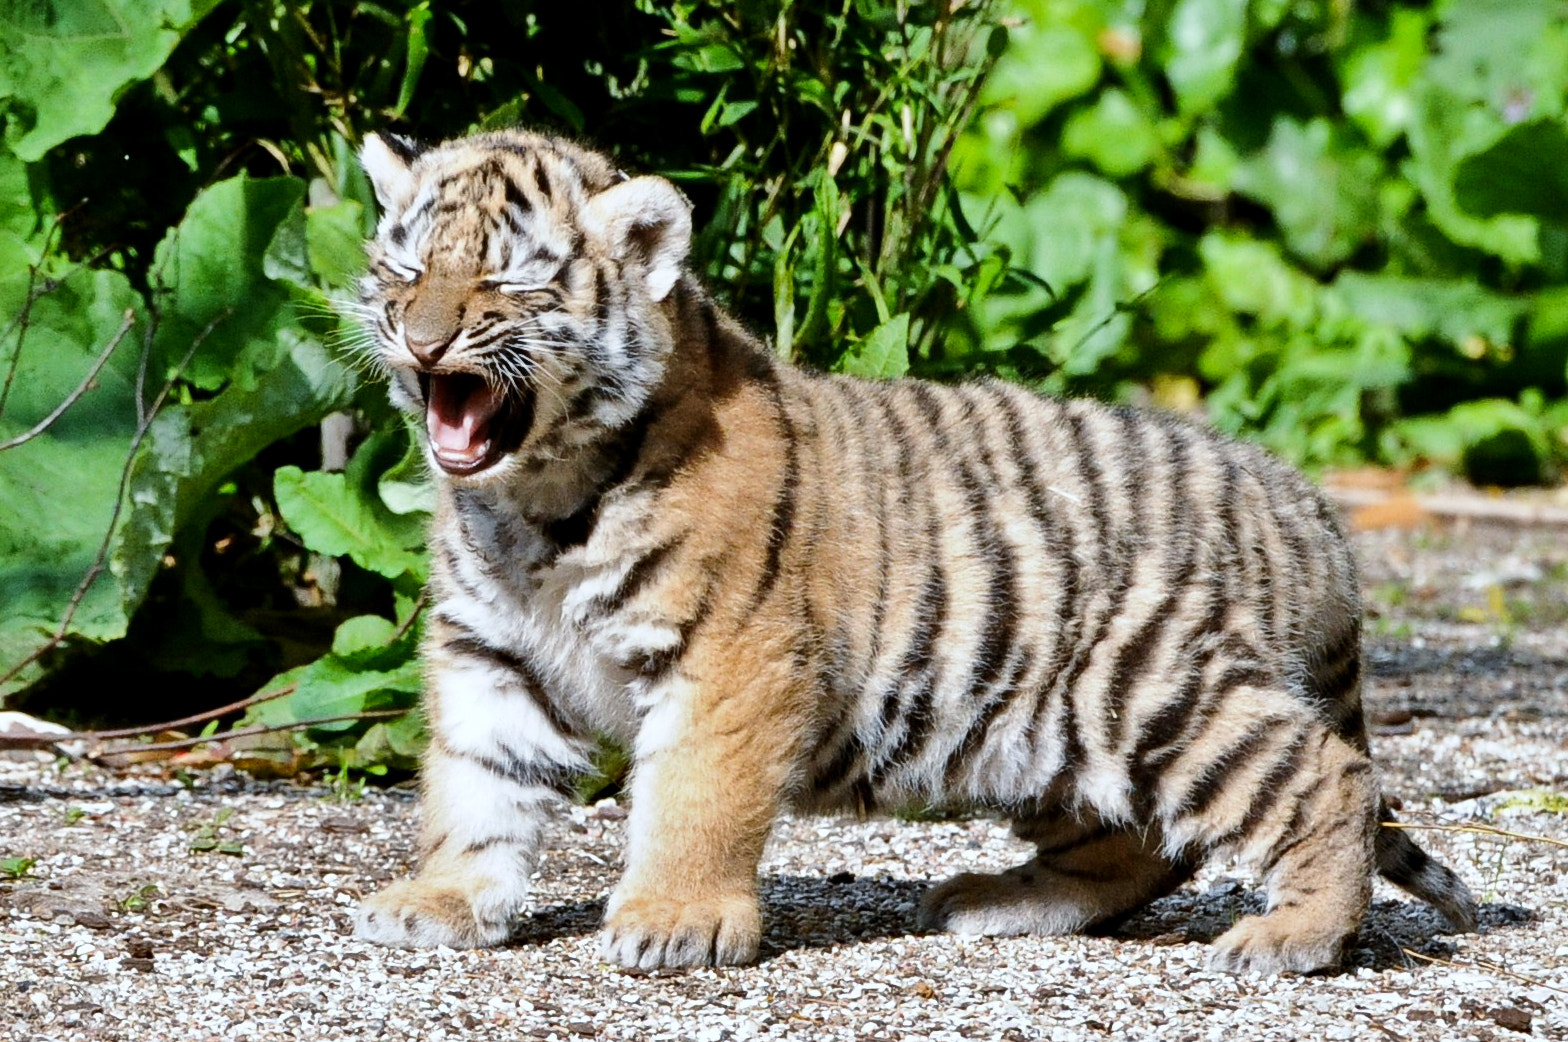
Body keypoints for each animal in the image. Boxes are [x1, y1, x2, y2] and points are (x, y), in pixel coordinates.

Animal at [347, 127, 1476, 974]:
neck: (531, 503)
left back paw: (1292, 938)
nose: (423, 339)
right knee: (1138, 845)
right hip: (1052, 730)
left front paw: (673, 919)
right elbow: (474, 784)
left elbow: (694, 800)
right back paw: (996, 901)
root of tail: (1305, 505)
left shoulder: (729, 659)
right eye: (404, 268)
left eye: (506, 284)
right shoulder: (488, 652)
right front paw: (441, 899)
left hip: (1149, 686)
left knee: (1328, 779)